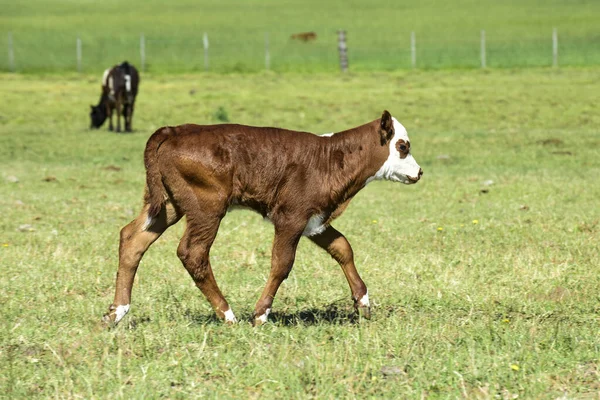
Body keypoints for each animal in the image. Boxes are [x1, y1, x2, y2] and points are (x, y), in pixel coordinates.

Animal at [103, 111, 422, 326]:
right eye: (402, 146)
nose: (419, 172)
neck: (330, 158)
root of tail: (175, 129)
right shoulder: (291, 217)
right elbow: (282, 264)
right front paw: (260, 315)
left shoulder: (315, 220)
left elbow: (343, 248)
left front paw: (363, 303)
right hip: (207, 207)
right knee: (192, 253)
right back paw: (228, 315)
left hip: (167, 204)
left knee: (132, 238)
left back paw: (117, 312)